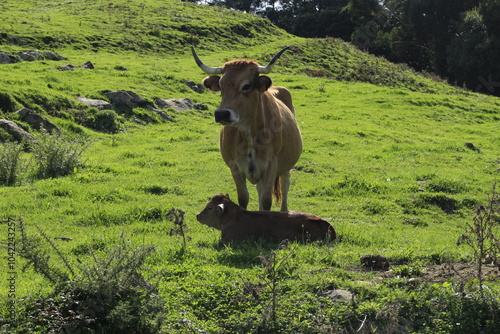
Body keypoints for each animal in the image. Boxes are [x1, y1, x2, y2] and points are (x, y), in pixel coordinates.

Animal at [190, 46, 300, 211]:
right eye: (221, 86)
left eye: (246, 85)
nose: (221, 113)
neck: (249, 136)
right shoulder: (235, 166)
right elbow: (243, 198)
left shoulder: (271, 165)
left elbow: (266, 200)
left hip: (286, 164)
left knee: (285, 183)